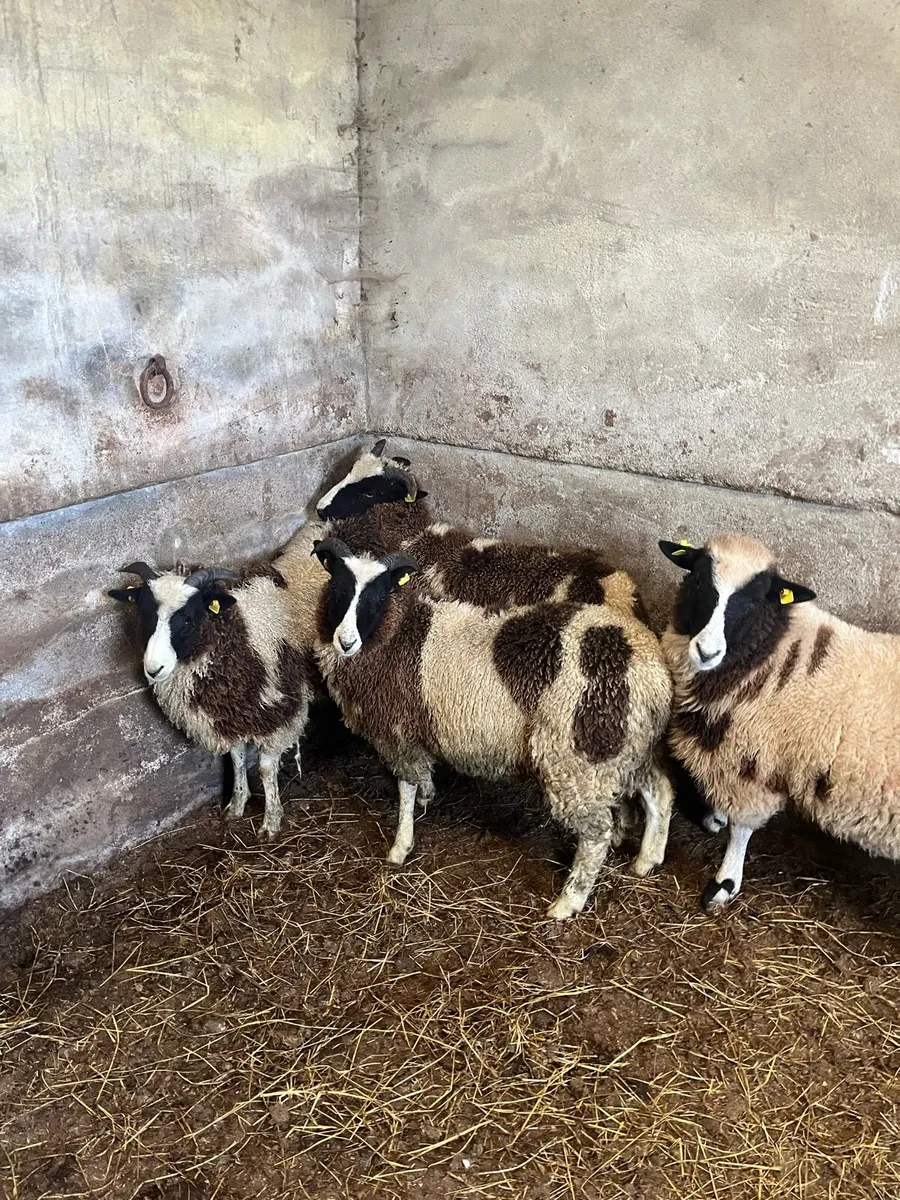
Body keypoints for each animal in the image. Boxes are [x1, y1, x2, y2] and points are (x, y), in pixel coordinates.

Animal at [109, 556, 324, 838]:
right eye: (145, 615)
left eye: (187, 619)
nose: (153, 669)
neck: (239, 632)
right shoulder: (230, 715)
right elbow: (236, 759)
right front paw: (237, 804)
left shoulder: (280, 714)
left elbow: (266, 769)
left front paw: (271, 821)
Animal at [311, 536, 675, 919]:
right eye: (337, 588)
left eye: (379, 595)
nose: (345, 641)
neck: (398, 632)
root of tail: (650, 671)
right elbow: (419, 781)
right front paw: (427, 796)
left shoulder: (396, 733)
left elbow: (405, 789)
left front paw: (400, 846)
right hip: (628, 747)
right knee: (659, 791)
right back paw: (647, 859)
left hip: (577, 758)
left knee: (596, 834)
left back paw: (567, 902)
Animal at [658, 532, 900, 910]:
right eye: (698, 580)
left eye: (755, 600)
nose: (707, 651)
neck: (772, 647)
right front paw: (715, 819)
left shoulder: (751, 762)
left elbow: (741, 829)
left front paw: (724, 883)